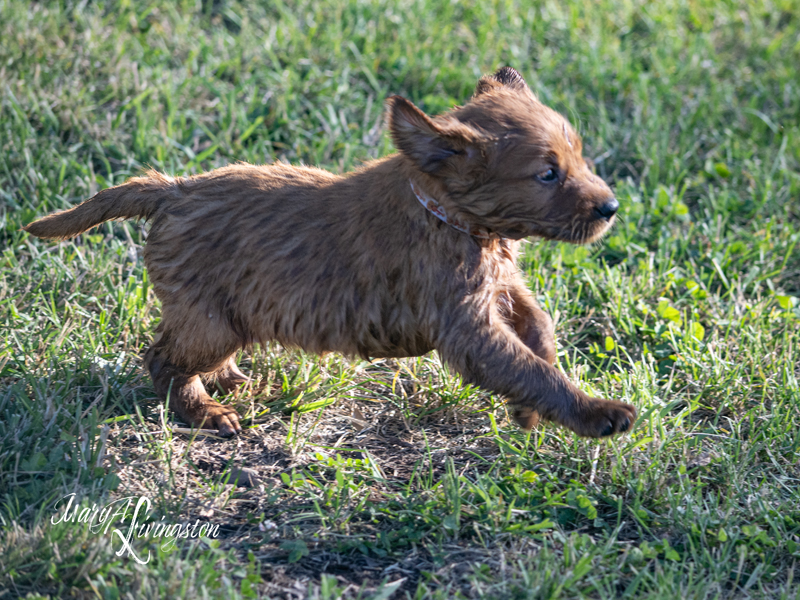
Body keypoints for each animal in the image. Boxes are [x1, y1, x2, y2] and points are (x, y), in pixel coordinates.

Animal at [26, 68, 636, 438]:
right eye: (547, 174)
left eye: (577, 156)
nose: (610, 208)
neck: (450, 215)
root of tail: (173, 190)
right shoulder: (467, 327)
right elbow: (529, 368)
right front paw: (598, 413)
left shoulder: (501, 285)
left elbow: (540, 329)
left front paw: (527, 410)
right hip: (210, 319)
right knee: (162, 359)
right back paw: (207, 411)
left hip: (221, 316)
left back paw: (229, 380)